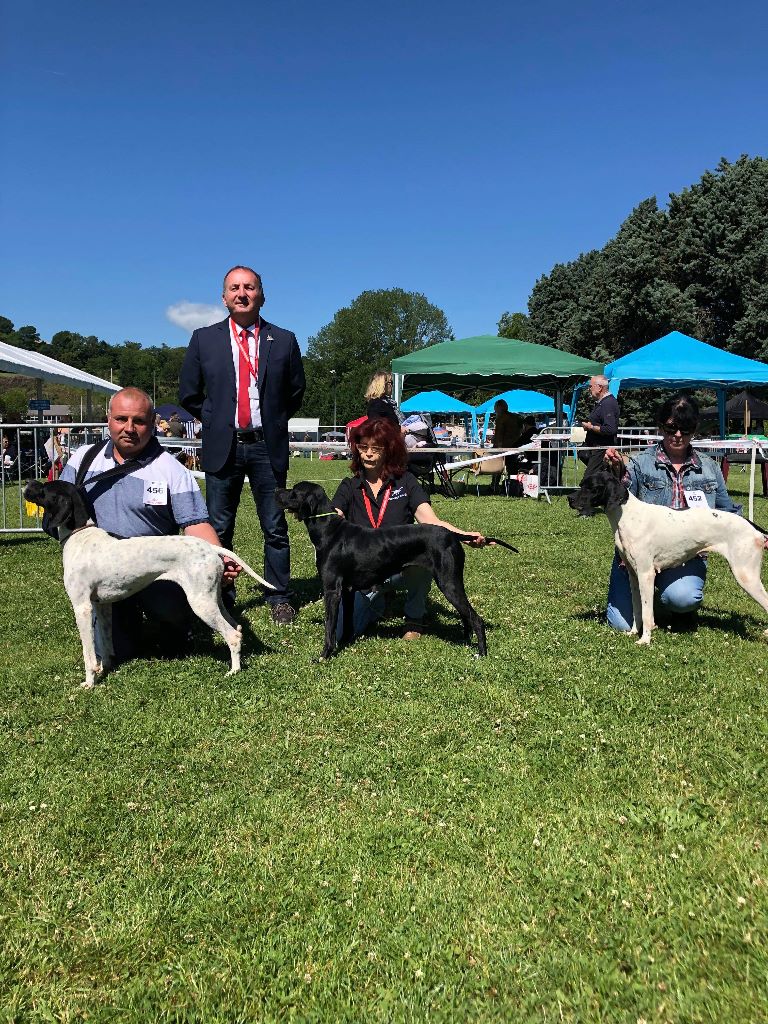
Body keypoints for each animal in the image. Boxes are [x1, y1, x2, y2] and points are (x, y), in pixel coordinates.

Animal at [24, 479, 276, 688]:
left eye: (44, 488)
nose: (27, 483)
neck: (80, 536)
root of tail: (211, 547)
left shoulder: (82, 608)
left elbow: (89, 654)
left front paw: (89, 683)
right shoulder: (101, 606)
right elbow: (105, 645)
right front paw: (106, 669)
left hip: (201, 604)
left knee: (232, 635)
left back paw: (234, 671)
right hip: (212, 600)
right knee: (237, 628)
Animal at [274, 477, 520, 655]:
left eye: (294, 491)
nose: (276, 490)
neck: (329, 530)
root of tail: (451, 534)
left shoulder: (332, 590)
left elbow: (329, 626)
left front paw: (324, 655)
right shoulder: (347, 591)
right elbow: (345, 624)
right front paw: (343, 645)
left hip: (448, 582)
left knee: (476, 619)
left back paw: (481, 653)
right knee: (466, 615)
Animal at [569, 468, 768, 643]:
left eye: (592, 487)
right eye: (582, 483)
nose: (569, 498)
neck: (627, 516)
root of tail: (754, 528)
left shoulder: (646, 575)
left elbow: (647, 613)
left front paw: (645, 640)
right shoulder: (633, 575)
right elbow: (637, 609)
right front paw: (633, 632)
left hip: (746, 576)